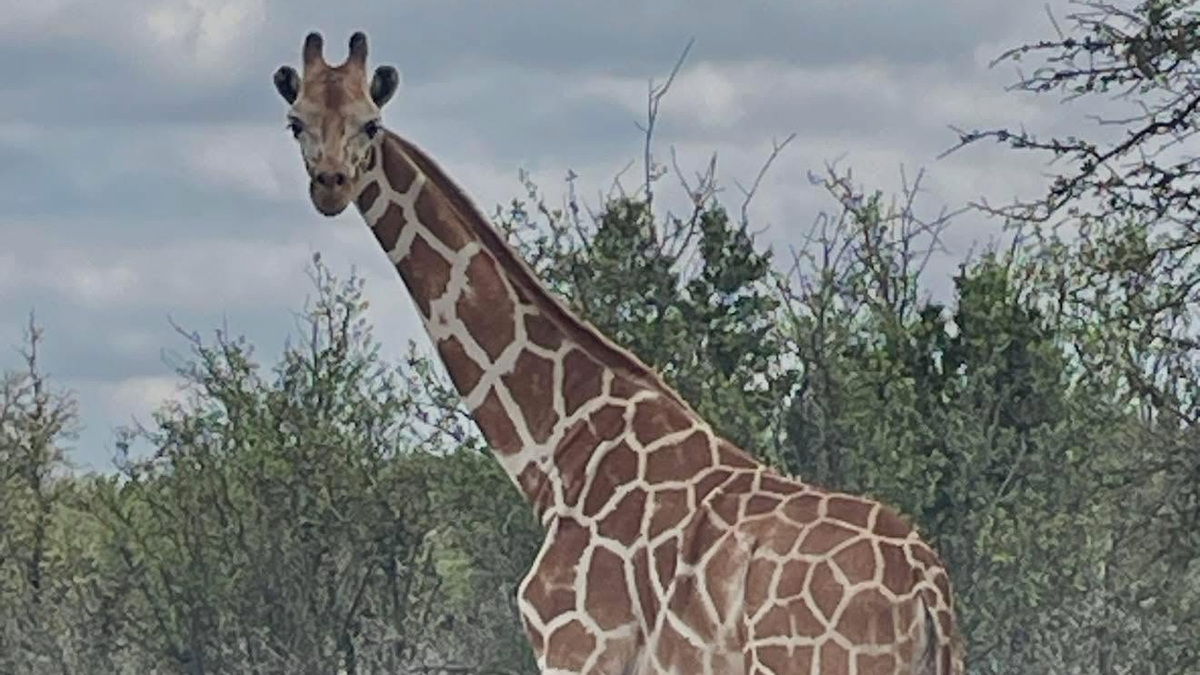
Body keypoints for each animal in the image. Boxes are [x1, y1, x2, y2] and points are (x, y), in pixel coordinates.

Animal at [272, 31, 965, 675]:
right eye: (296, 121)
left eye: (371, 122)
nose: (331, 184)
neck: (557, 453)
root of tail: (928, 587)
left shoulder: (576, 648)